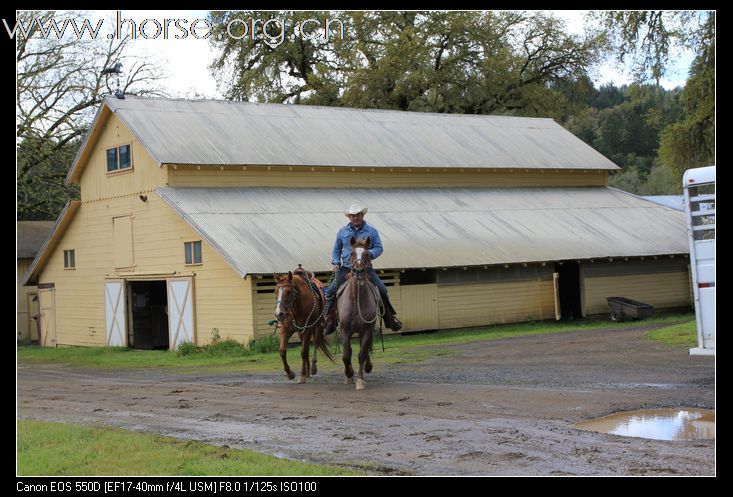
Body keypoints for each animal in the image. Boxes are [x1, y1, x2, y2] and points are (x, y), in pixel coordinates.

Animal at [338, 234, 384, 390]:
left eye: (367, 254)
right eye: (352, 253)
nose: (358, 271)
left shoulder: (367, 329)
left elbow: (361, 354)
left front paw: (360, 381)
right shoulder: (345, 330)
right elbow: (346, 355)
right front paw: (349, 374)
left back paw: (367, 367)